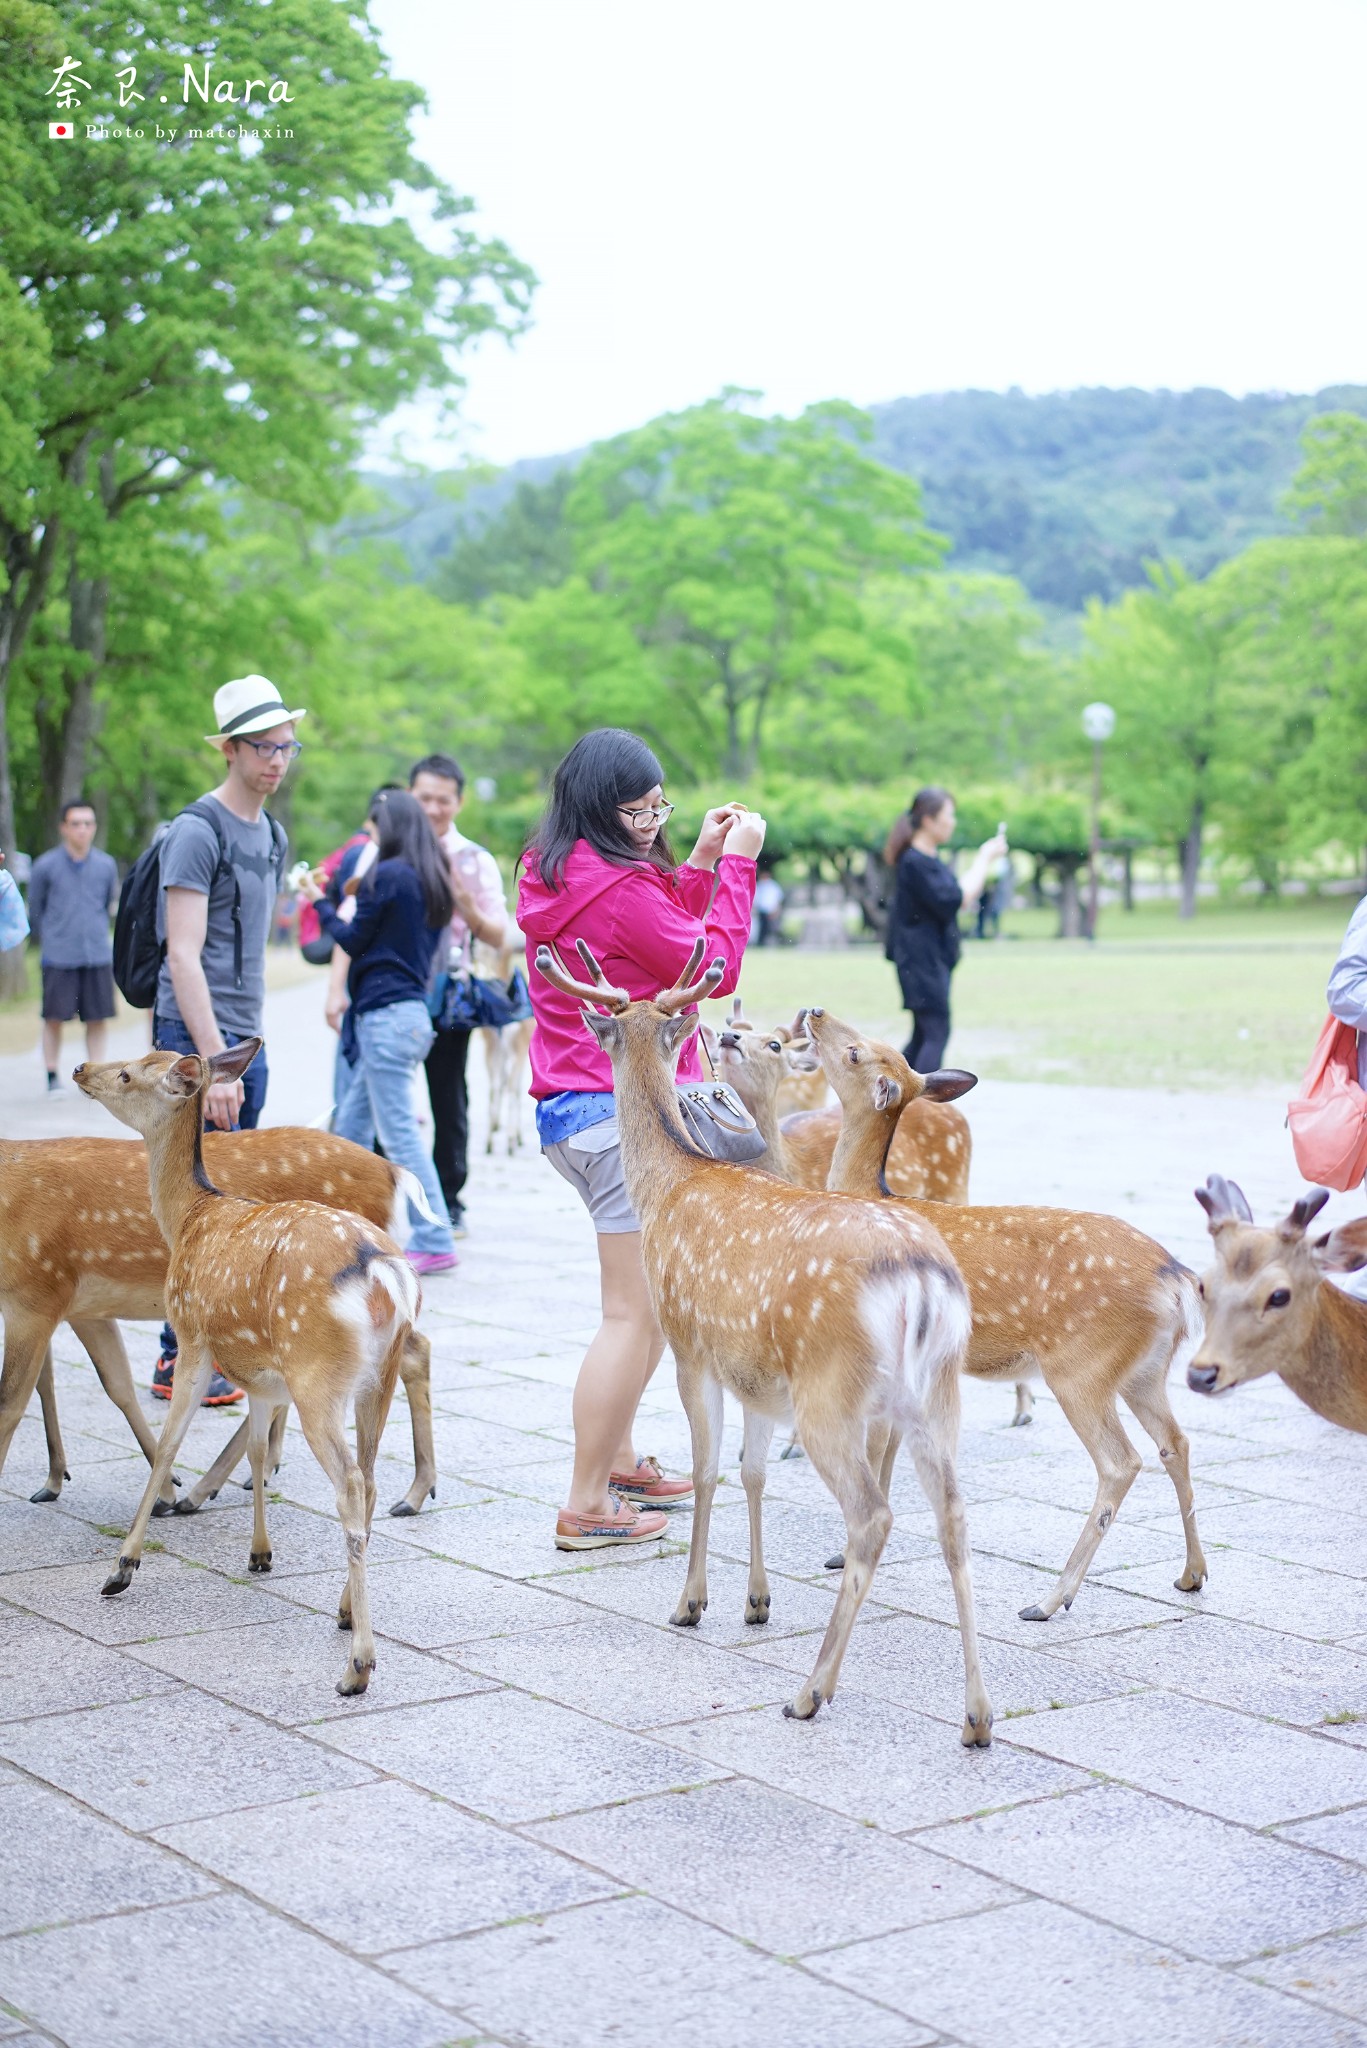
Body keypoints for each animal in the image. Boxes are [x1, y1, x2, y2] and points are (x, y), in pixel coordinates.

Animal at [0, 1130, 438, 1515]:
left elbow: (13, 1402)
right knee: (409, 1353)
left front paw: (164, 1490)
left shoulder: (38, 1292)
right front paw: (58, 1480)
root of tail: (393, 1170)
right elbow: (98, 1384)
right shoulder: (73, 1307)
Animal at [73, 1040, 418, 1695]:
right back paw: (344, 1612)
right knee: (370, 1478)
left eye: (128, 1073)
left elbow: (167, 1447)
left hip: (318, 1375)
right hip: (374, 1380)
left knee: (350, 1487)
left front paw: (122, 1566)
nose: (82, 1068)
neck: (187, 1218)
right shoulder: (262, 1375)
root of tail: (382, 1270)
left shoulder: (194, 1335)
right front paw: (259, 1554)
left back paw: (357, 1665)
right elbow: (258, 1449)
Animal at [528, 937, 987, 1736]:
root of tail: (922, 1280)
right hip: (936, 1394)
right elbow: (752, 1471)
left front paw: (691, 1602)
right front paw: (756, 1600)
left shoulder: (689, 1345)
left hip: (832, 1390)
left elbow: (709, 1468)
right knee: (953, 1514)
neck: (671, 1185)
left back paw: (810, 1691)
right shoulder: (754, 1369)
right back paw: (978, 1717)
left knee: (872, 1516)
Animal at [803, 1007, 1205, 1613]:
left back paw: (1052, 1599)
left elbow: (874, 1455)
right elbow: (891, 1452)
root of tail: (1177, 1279)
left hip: (1081, 1365)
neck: (870, 1196)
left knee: (1121, 1461)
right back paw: (1192, 1575)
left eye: (855, 1052)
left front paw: (841, 1554)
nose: (816, 1012)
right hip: (1145, 1370)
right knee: (1175, 1443)